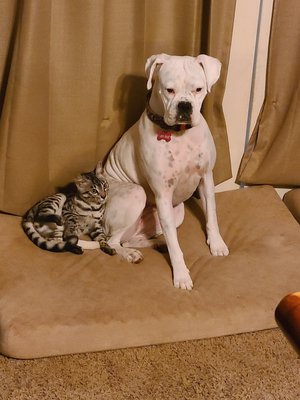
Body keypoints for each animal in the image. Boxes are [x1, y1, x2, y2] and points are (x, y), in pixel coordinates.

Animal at [101, 54, 227, 290]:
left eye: (198, 89)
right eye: (169, 90)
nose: (185, 105)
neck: (180, 136)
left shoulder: (206, 179)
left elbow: (212, 215)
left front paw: (216, 243)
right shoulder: (163, 195)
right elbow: (175, 245)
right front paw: (181, 275)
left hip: (177, 213)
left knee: (128, 238)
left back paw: (155, 243)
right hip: (137, 195)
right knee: (112, 241)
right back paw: (130, 254)